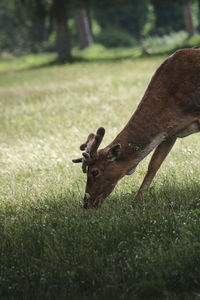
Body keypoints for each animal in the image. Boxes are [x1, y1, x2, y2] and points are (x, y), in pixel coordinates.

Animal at [72, 48, 200, 209]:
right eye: (86, 171)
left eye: (95, 172)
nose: (86, 203)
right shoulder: (171, 132)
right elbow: (154, 164)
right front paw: (136, 202)